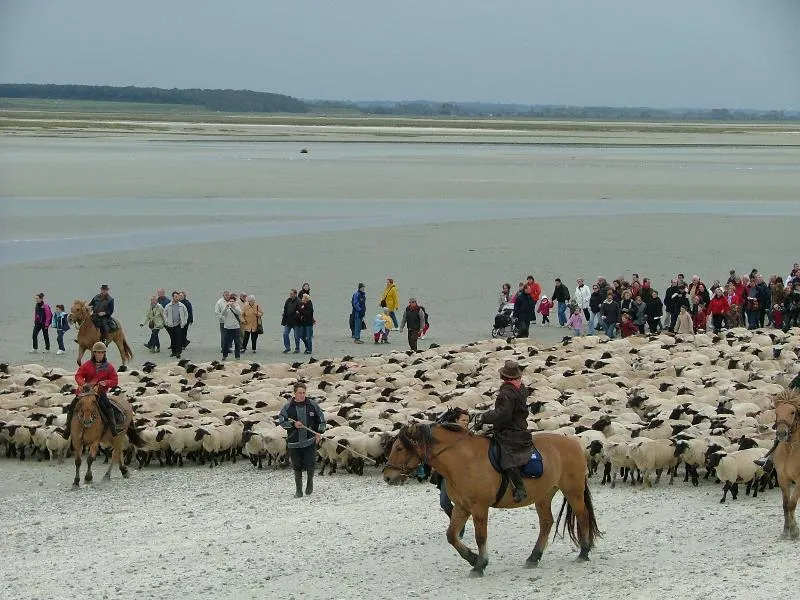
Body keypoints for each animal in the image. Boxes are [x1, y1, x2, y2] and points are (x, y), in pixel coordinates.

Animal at [382, 422, 600, 576]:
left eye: (399, 448)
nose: (387, 476)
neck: (462, 459)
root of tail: (574, 443)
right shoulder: (462, 507)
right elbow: (451, 535)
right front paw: (472, 558)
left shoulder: (479, 508)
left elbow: (480, 536)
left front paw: (480, 565)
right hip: (544, 495)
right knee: (546, 523)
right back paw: (534, 557)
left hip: (573, 491)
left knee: (582, 516)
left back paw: (584, 552)